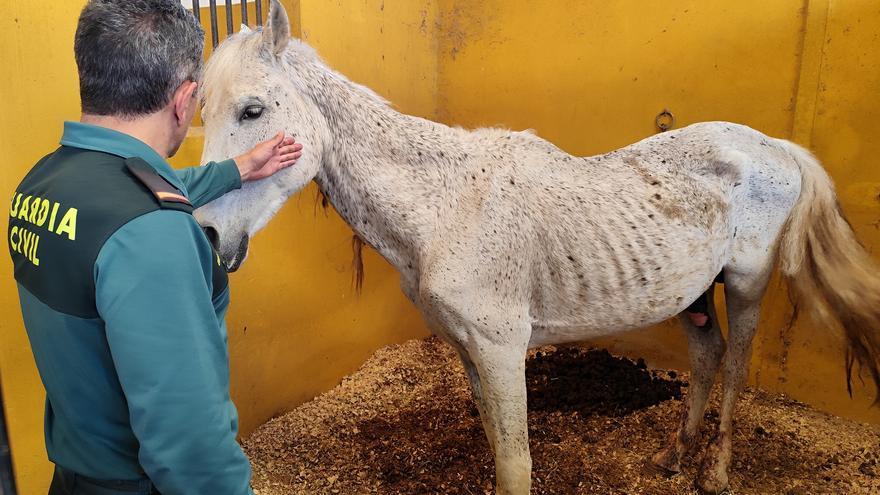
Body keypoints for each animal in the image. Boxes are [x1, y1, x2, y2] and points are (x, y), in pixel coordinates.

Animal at [194, 2, 880, 493]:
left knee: (735, 366)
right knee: (708, 358)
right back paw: (672, 456)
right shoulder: (471, 351)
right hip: (692, 293)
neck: (446, 210)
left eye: (252, 110)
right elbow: (499, 449)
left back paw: (714, 471)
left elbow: (517, 465)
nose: (206, 234)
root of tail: (772, 145)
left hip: (743, 283)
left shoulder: (503, 350)